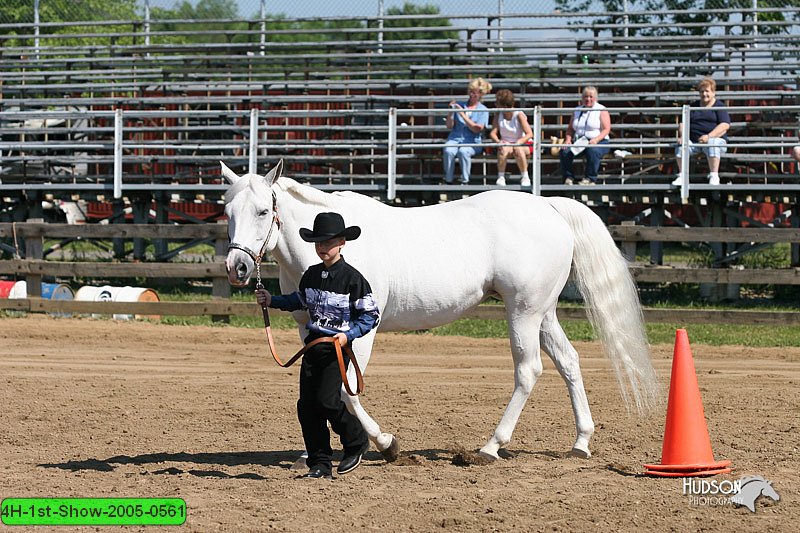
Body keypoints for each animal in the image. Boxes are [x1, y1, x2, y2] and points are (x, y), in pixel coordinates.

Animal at [222, 159, 660, 462]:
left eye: (263, 211)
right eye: (227, 212)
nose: (237, 267)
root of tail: (550, 208)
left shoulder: (361, 330)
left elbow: (349, 391)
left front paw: (386, 444)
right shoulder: (309, 330)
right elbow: (320, 387)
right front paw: (312, 453)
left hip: (523, 312)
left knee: (529, 370)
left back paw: (490, 447)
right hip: (543, 313)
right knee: (569, 362)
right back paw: (580, 442)